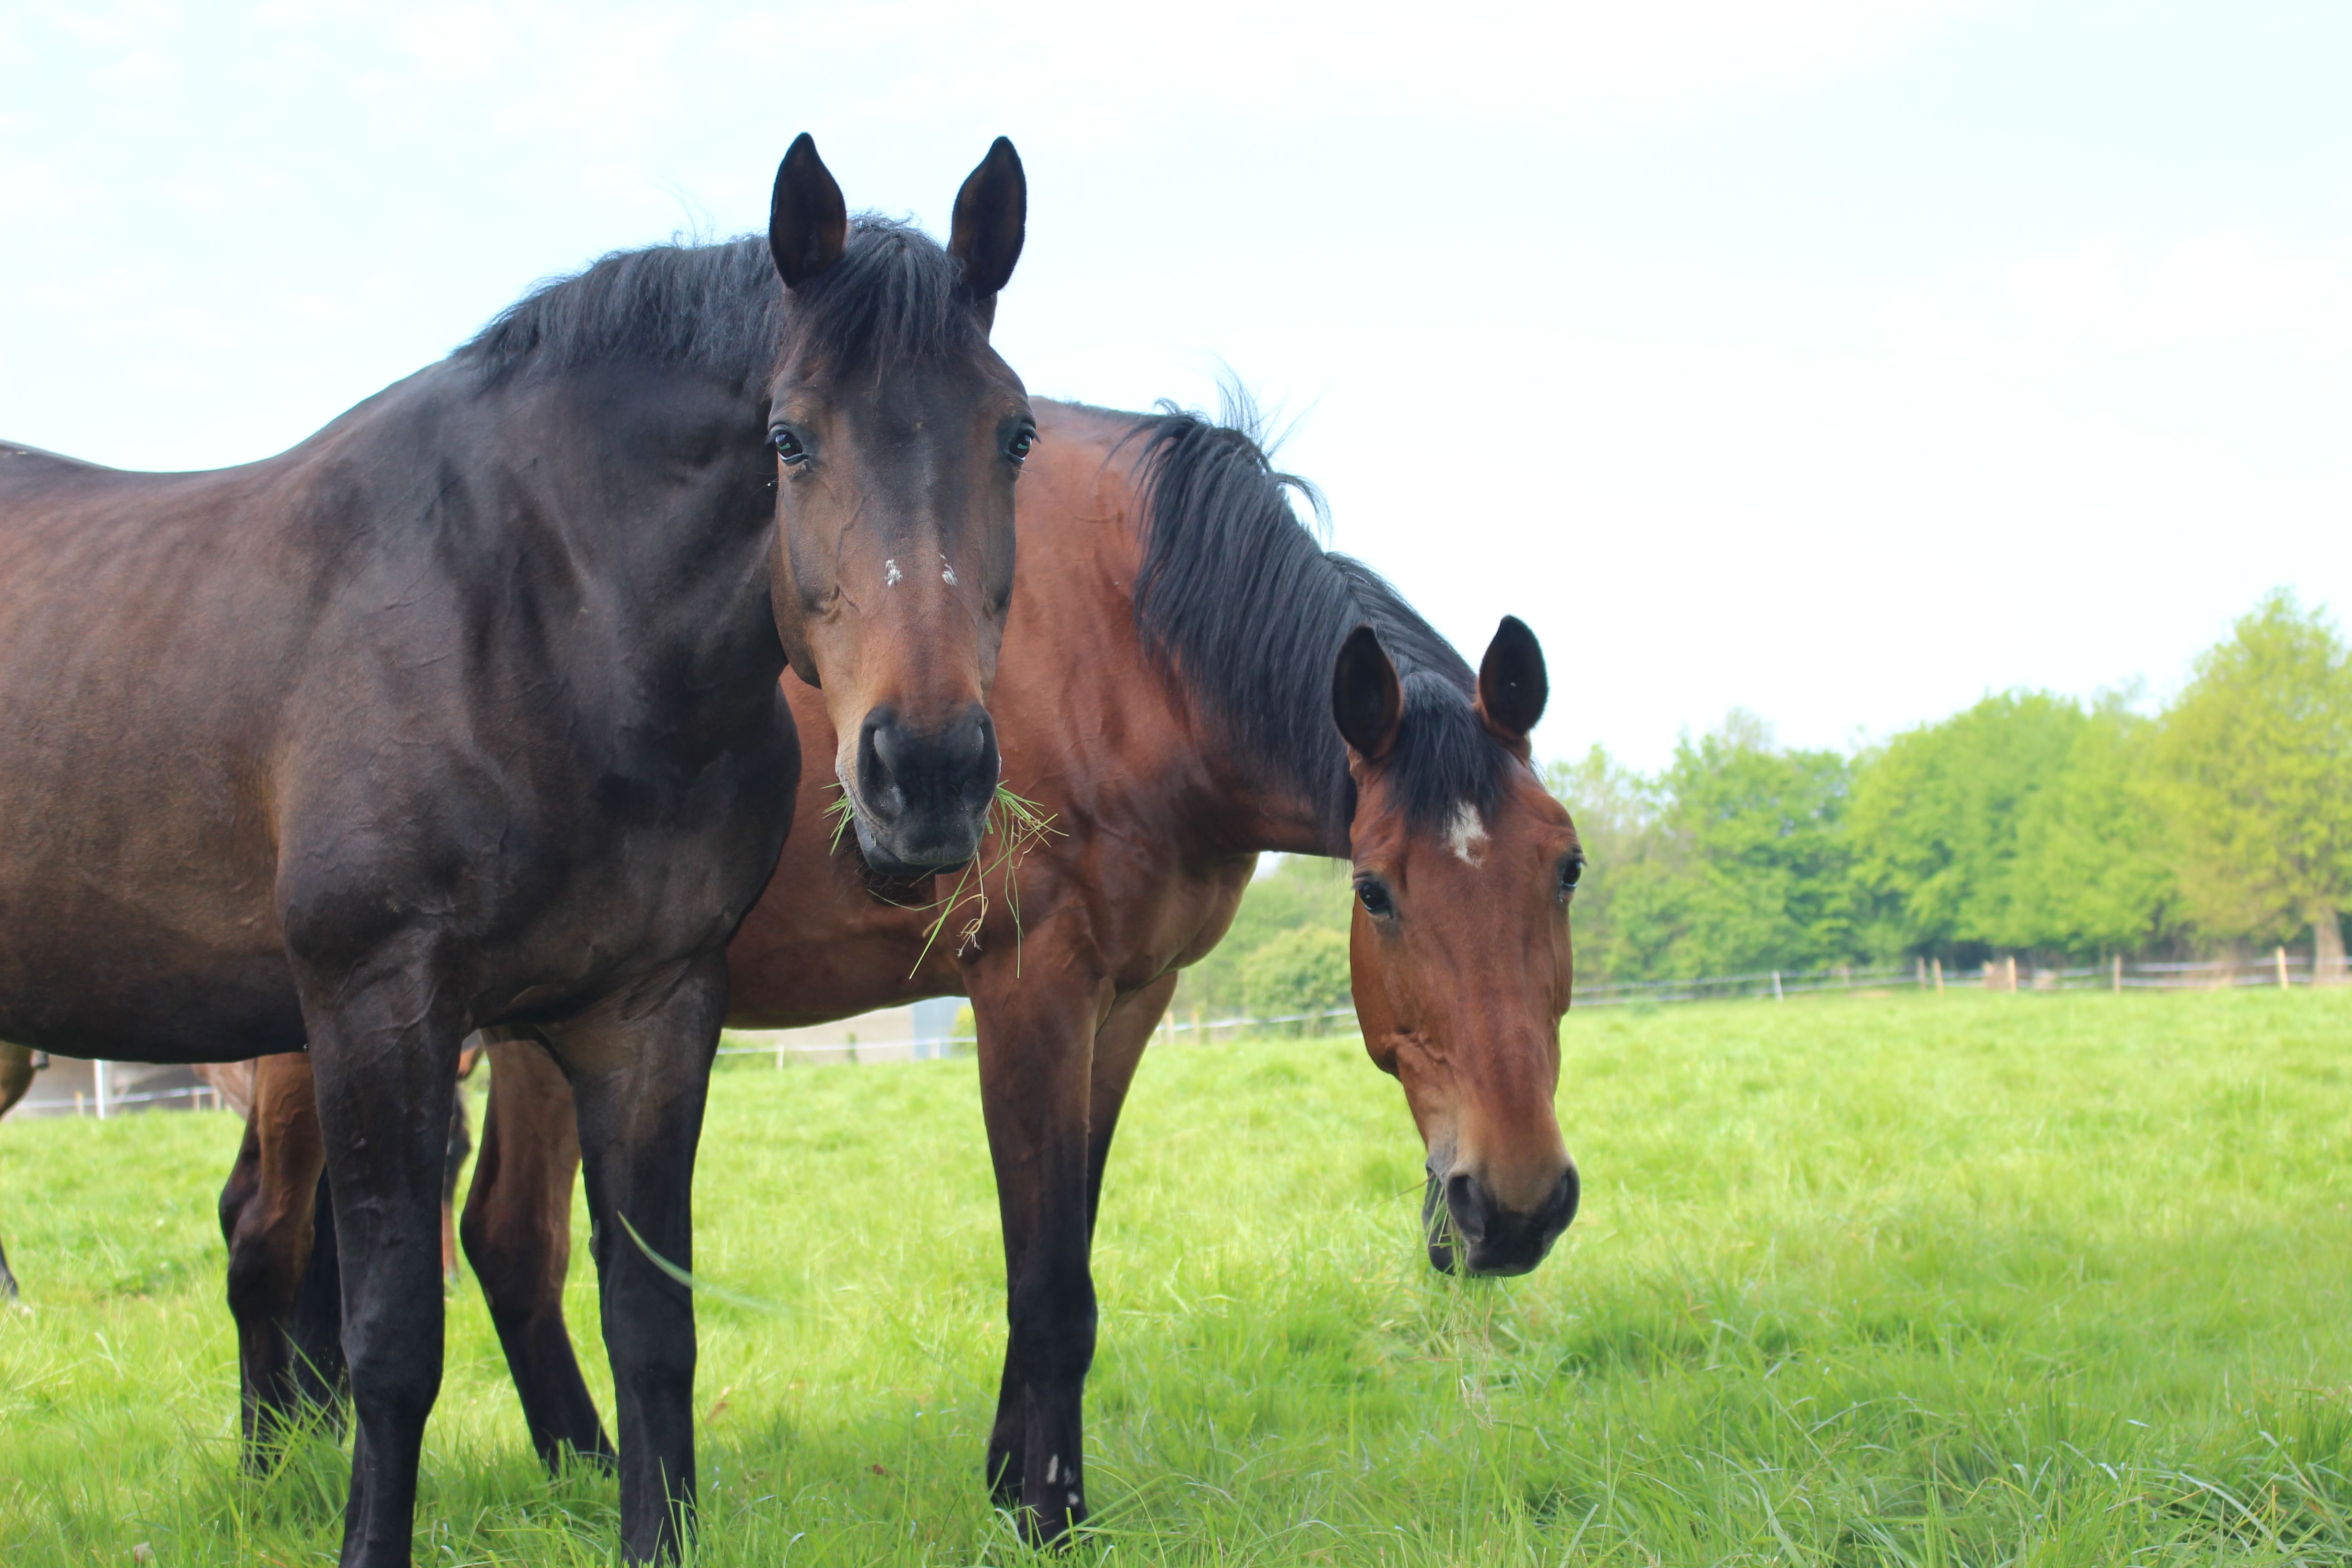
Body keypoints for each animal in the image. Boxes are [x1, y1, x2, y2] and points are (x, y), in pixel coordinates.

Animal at [0, 138, 1030, 1568]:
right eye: (788, 438)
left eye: (1016, 434)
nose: (924, 771)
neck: (541, 619)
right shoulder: (378, 1006)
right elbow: (392, 1344)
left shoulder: (648, 1014)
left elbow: (653, 1325)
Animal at [225, 399, 1580, 1542]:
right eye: (1378, 891)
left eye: (1564, 869)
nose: (1512, 1207)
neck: (1132, 645)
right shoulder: (1032, 989)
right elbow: (1048, 1278)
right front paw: (1047, 1514)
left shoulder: (1130, 1000)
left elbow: (1067, 1240)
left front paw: (1018, 1480)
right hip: (326, 1035)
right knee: (267, 1233)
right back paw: (272, 1478)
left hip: (539, 1026)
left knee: (507, 1239)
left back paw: (585, 1477)